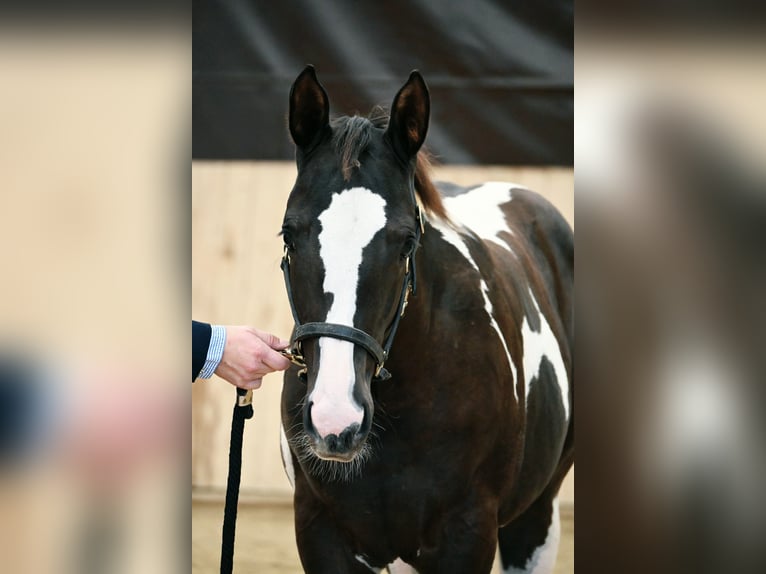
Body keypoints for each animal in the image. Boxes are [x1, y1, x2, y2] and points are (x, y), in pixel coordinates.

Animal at [278, 66, 573, 574]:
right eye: (289, 236)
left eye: (405, 244)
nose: (337, 419)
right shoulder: (320, 531)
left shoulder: (468, 534)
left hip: (535, 518)